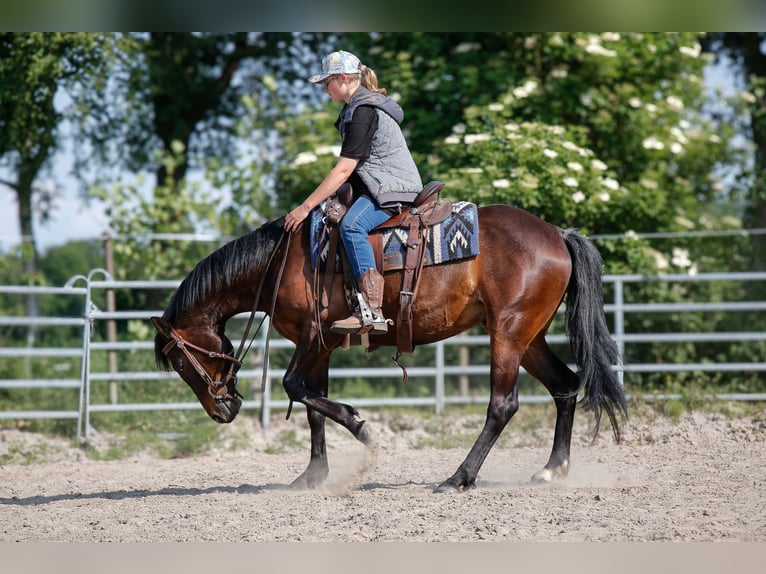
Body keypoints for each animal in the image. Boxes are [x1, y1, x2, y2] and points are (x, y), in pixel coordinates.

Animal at [152, 204, 627, 492]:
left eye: (180, 362)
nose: (222, 410)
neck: (282, 264)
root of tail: (557, 234)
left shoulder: (315, 334)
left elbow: (294, 387)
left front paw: (360, 426)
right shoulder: (321, 344)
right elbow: (311, 403)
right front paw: (313, 475)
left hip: (508, 334)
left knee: (503, 405)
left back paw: (459, 477)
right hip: (530, 338)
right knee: (565, 387)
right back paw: (552, 469)